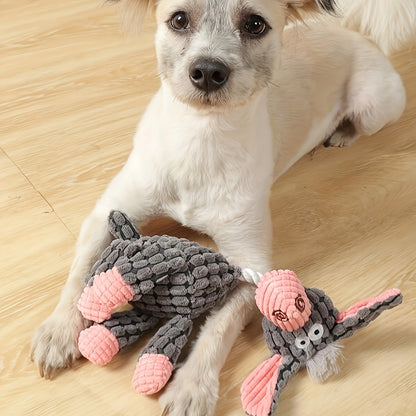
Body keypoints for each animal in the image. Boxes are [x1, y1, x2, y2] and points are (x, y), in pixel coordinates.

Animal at [30, 0, 414, 416]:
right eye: (179, 19)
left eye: (255, 24)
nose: (208, 71)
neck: (201, 136)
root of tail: (356, 33)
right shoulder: (108, 212)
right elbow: (81, 274)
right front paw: (60, 330)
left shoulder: (252, 266)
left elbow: (219, 329)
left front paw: (192, 387)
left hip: (374, 106)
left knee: (360, 123)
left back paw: (340, 133)